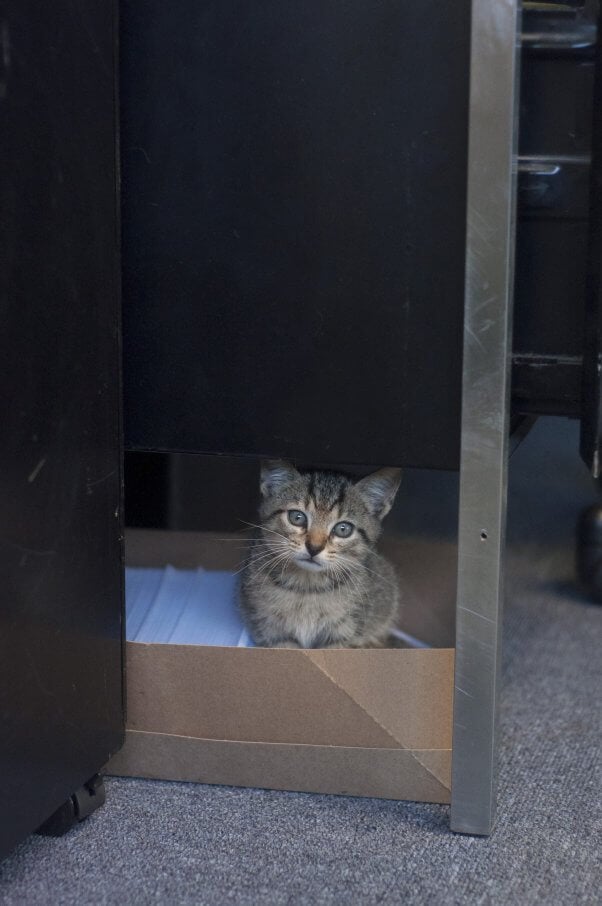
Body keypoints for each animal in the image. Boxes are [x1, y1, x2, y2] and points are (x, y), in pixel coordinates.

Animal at [237, 462, 400, 648]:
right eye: (297, 517)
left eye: (343, 529)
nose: (314, 548)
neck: (307, 587)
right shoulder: (270, 630)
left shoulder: (345, 635)